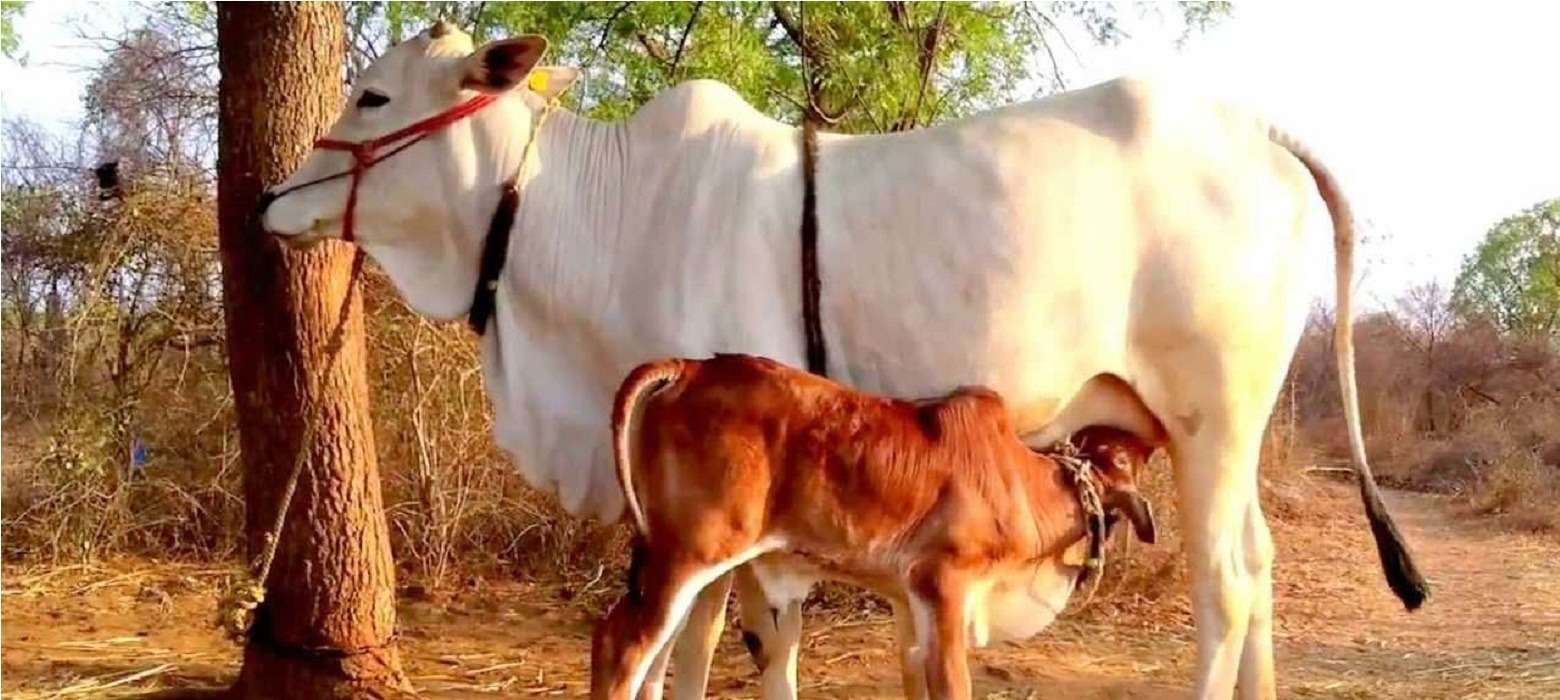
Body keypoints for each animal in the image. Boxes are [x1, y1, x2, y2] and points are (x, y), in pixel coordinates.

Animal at [589, 355, 1154, 698]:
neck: (1021, 480)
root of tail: (691, 369)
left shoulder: (911, 604)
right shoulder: (944, 586)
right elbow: (954, 686)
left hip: (675, 563)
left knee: (653, 654)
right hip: (692, 553)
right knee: (622, 645)